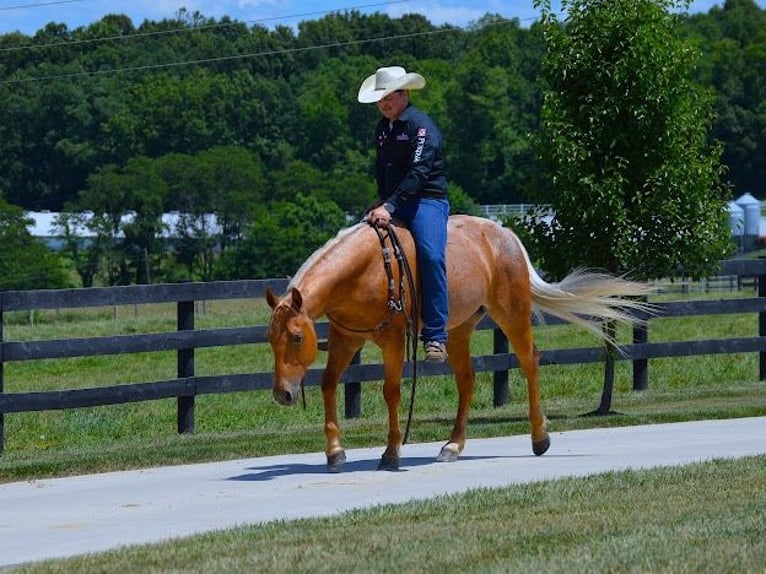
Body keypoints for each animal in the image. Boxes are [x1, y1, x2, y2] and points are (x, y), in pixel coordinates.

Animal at [266, 216, 656, 472]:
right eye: (271, 340)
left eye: (297, 337)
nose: (282, 395)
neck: (369, 268)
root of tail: (505, 234)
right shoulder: (346, 339)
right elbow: (329, 385)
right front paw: (334, 452)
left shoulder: (392, 339)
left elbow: (391, 392)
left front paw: (391, 453)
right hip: (458, 331)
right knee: (467, 381)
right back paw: (452, 445)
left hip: (512, 313)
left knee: (529, 362)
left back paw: (539, 438)